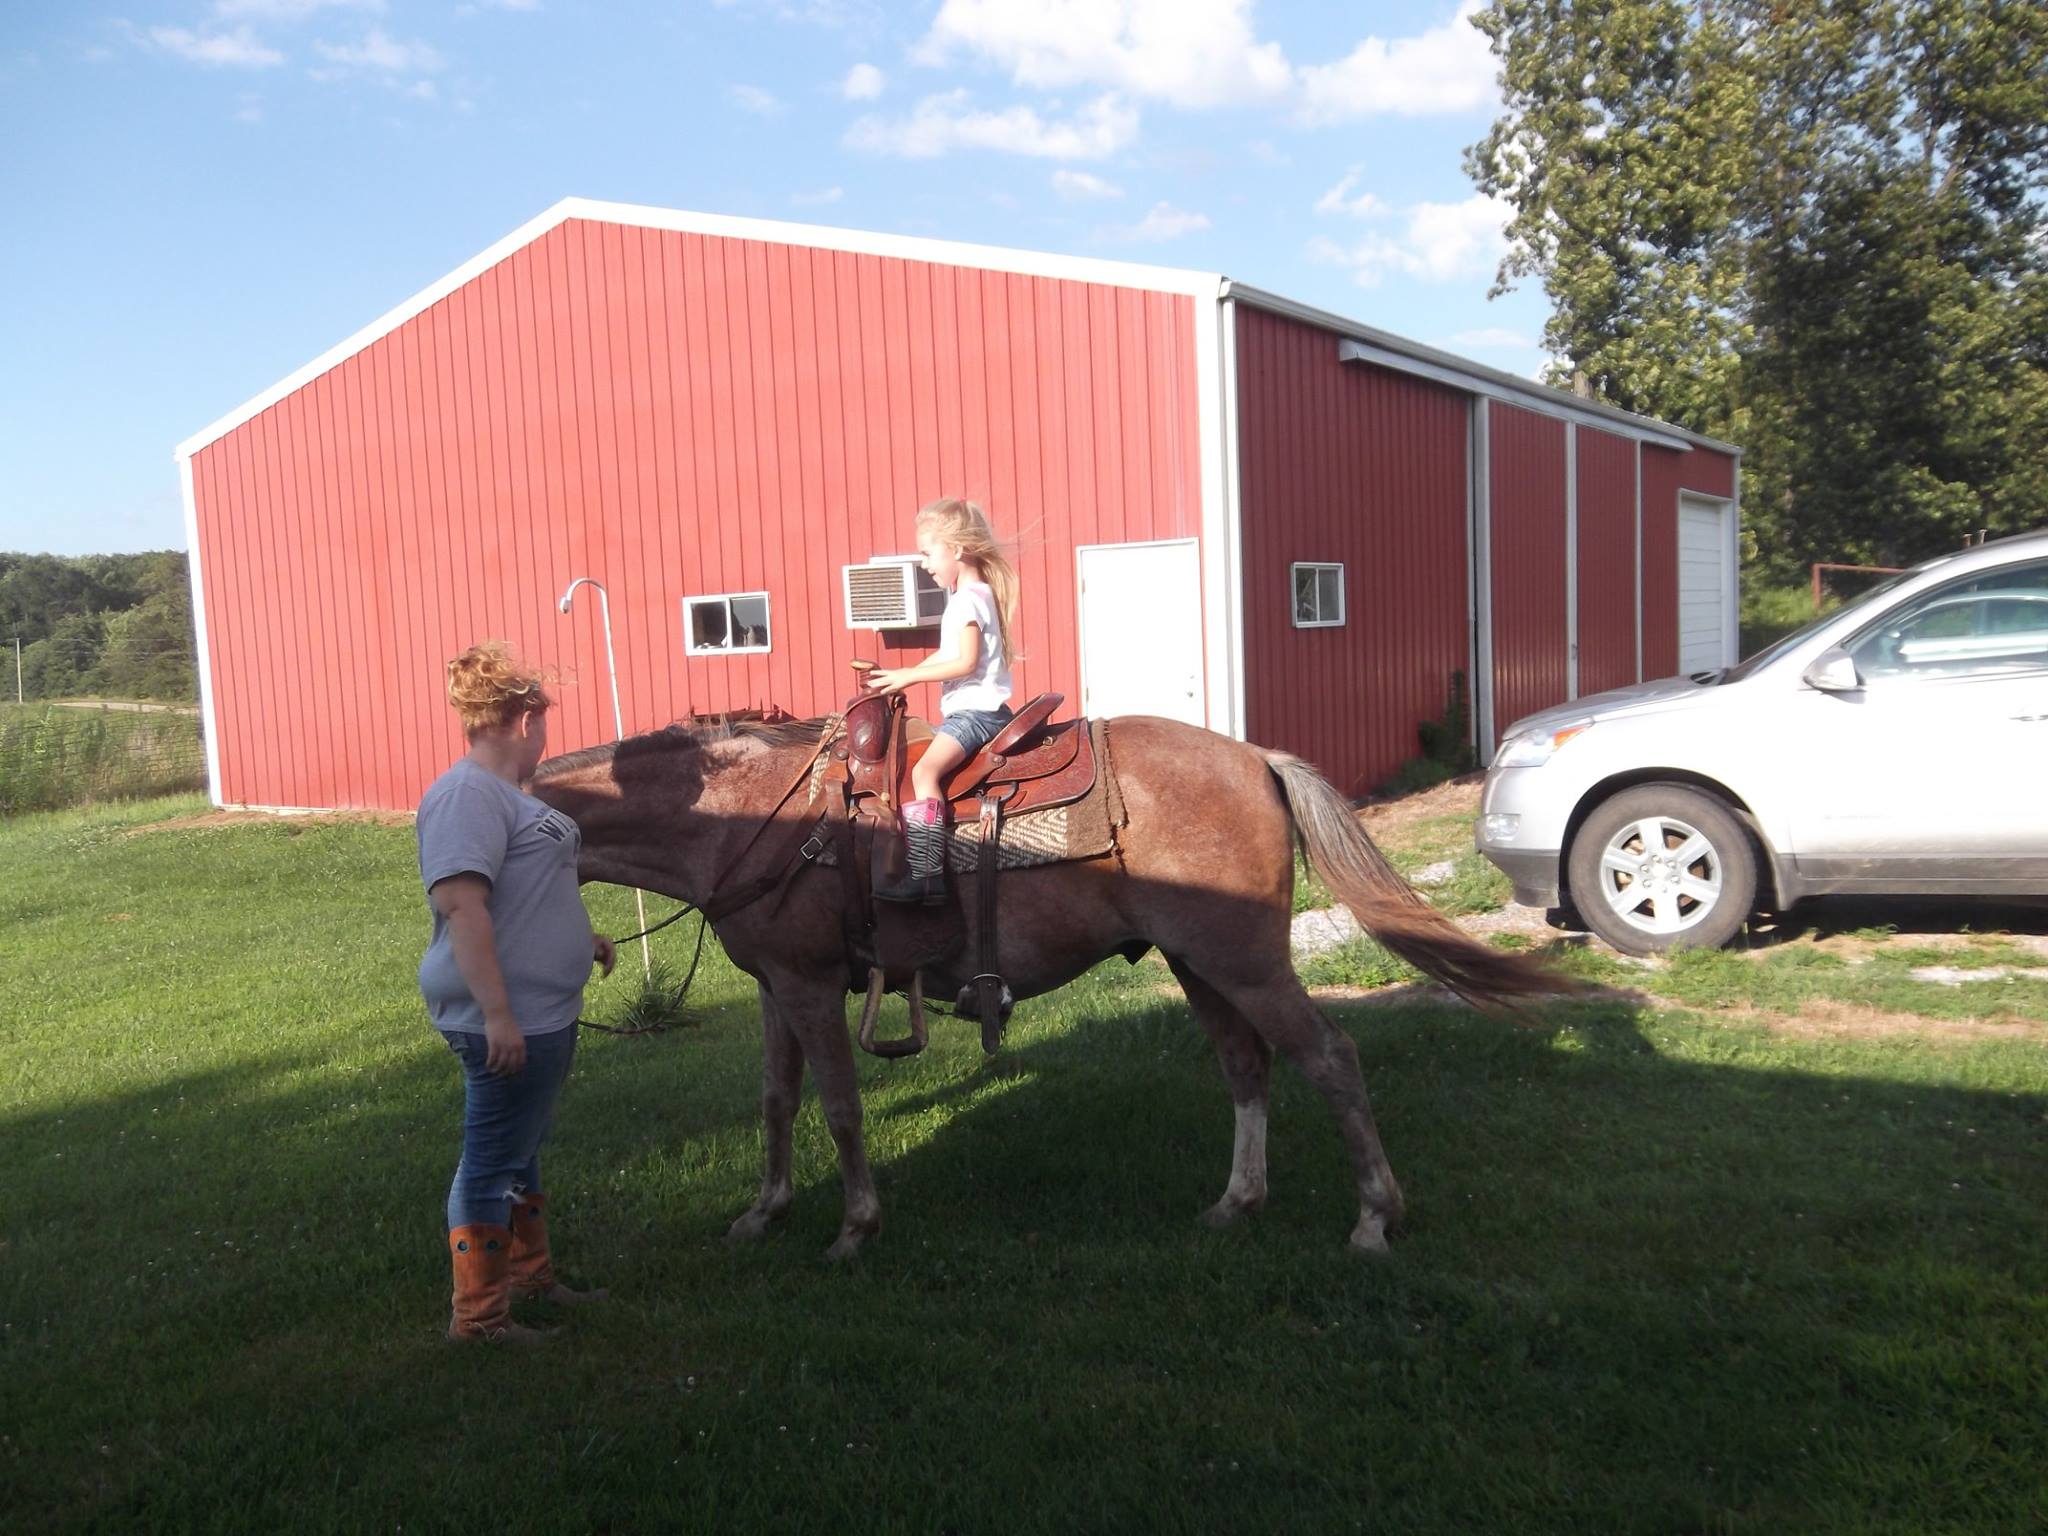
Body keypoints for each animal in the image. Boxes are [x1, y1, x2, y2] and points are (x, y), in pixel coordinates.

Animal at [532, 716, 1564, 1253]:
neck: (747, 816)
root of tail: (1257, 759)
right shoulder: (773, 985)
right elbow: (777, 1102)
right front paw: (763, 1211)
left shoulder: (813, 985)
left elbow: (840, 1107)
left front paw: (855, 1226)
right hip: (1199, 964)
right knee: (1247, 1067)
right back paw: (1237, 1201)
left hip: (1245, 961)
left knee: (1331, 1057)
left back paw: (1374, 1218)